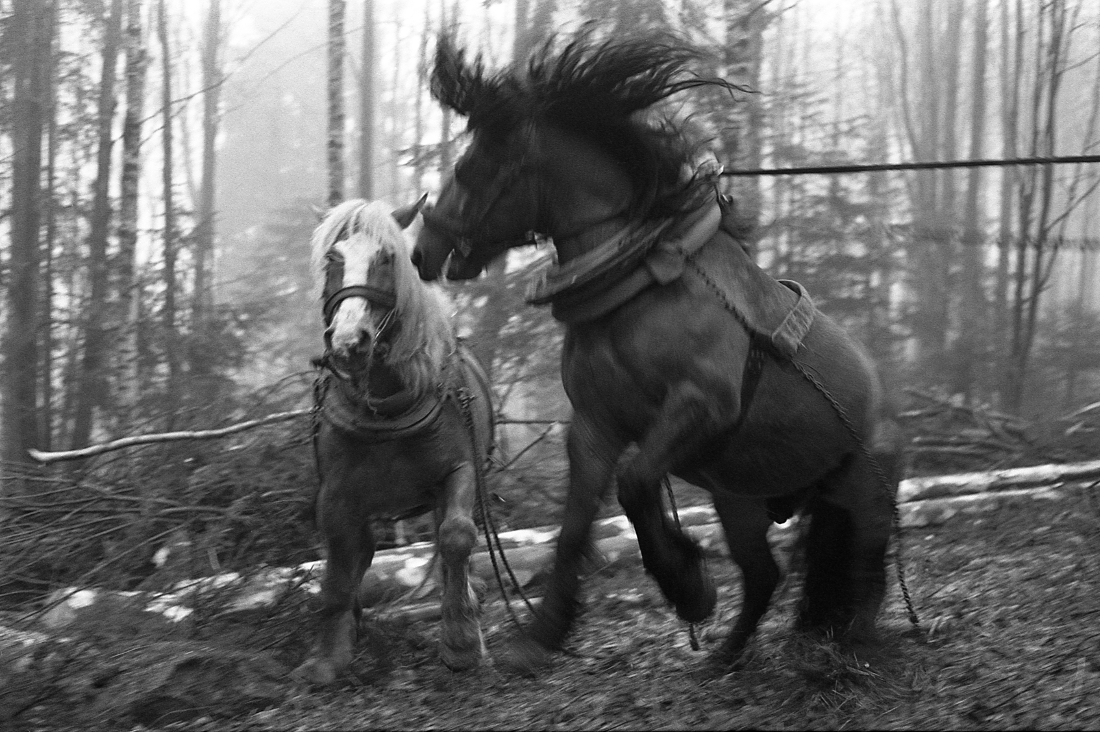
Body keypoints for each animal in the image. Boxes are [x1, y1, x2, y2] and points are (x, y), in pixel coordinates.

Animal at [293, 198, 494, 684]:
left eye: (386, 258)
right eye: (333, 259)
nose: (350, 343)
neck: (384, 406)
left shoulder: (460, 471)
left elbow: (457, 537)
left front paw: (461, 641)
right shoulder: (336, 494)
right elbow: (338, 566)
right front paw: (328, 657)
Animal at [412, 30, 904, 674]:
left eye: (472, 167)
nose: (423, 250)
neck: (639, 288)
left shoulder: (701, 406)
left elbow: (637, 483)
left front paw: (688, 585)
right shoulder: (594, 425)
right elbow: (574, 525)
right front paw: (541, 634)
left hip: (862, 494)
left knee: (869, 565)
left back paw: (856, 647)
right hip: (740, 500)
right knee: (765, 574)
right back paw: (725, 657)